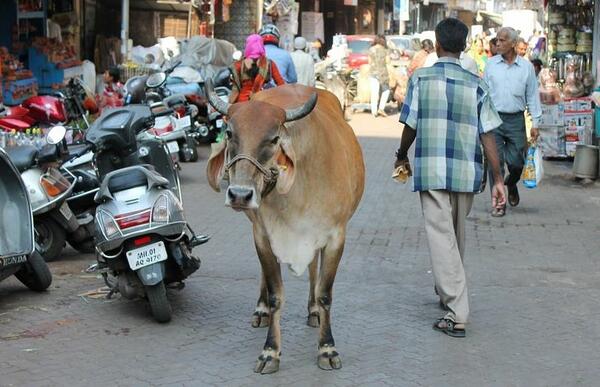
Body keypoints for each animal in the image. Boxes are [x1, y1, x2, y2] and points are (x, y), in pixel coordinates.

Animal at [206, 81, 366, 372]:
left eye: (273, 139)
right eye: (230, 133)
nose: (239, 194)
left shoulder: (335, 237)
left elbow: (325, 293)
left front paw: (327, 348)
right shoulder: (262, 236)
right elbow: (275, 295)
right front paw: (270, 352)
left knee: (314, 271)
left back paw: (313, 311)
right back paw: (261, 311)